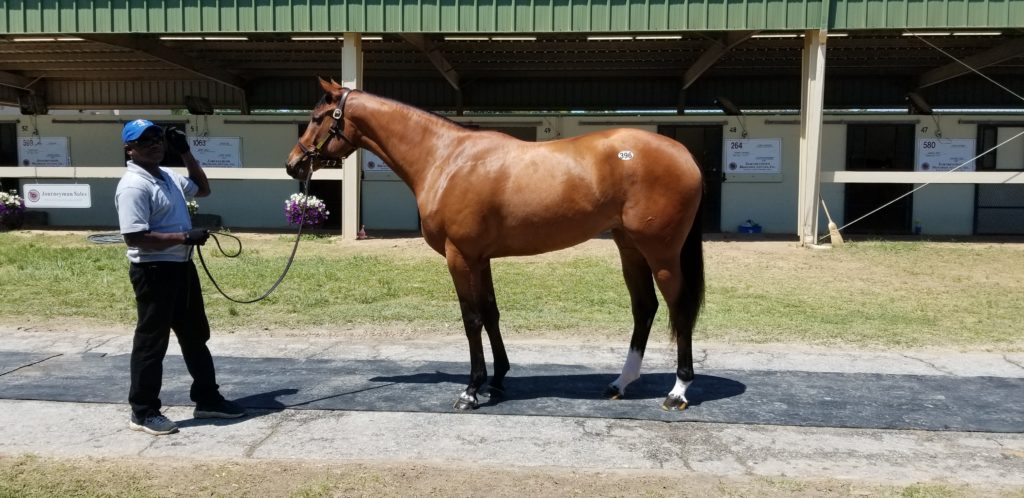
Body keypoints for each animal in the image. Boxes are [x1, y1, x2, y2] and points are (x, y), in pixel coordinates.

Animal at [288, 77, 704, 409]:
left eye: (316, 117)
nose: (294, 164)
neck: (445, 158)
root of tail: (684, 154)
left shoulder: (459, 256)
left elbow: (471, 319)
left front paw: (471, 390)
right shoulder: (480, 258)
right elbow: (491, 313)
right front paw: (498, 380)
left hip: (661, 252)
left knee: (679, 308)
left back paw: (678, 391)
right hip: (630, 248)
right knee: (644, 308)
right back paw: (621, 383)